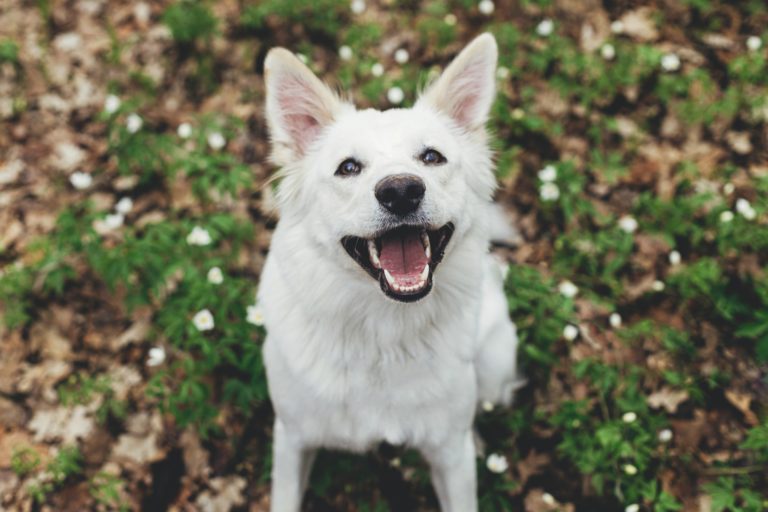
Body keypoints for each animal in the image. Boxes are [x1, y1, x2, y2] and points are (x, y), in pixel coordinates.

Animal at [260, 34, 520, 510]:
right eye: (348, 167)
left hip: (494, 364)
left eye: (432, 157)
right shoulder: (292, 438)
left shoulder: (449, 455)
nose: (401, 190)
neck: (381, 334)